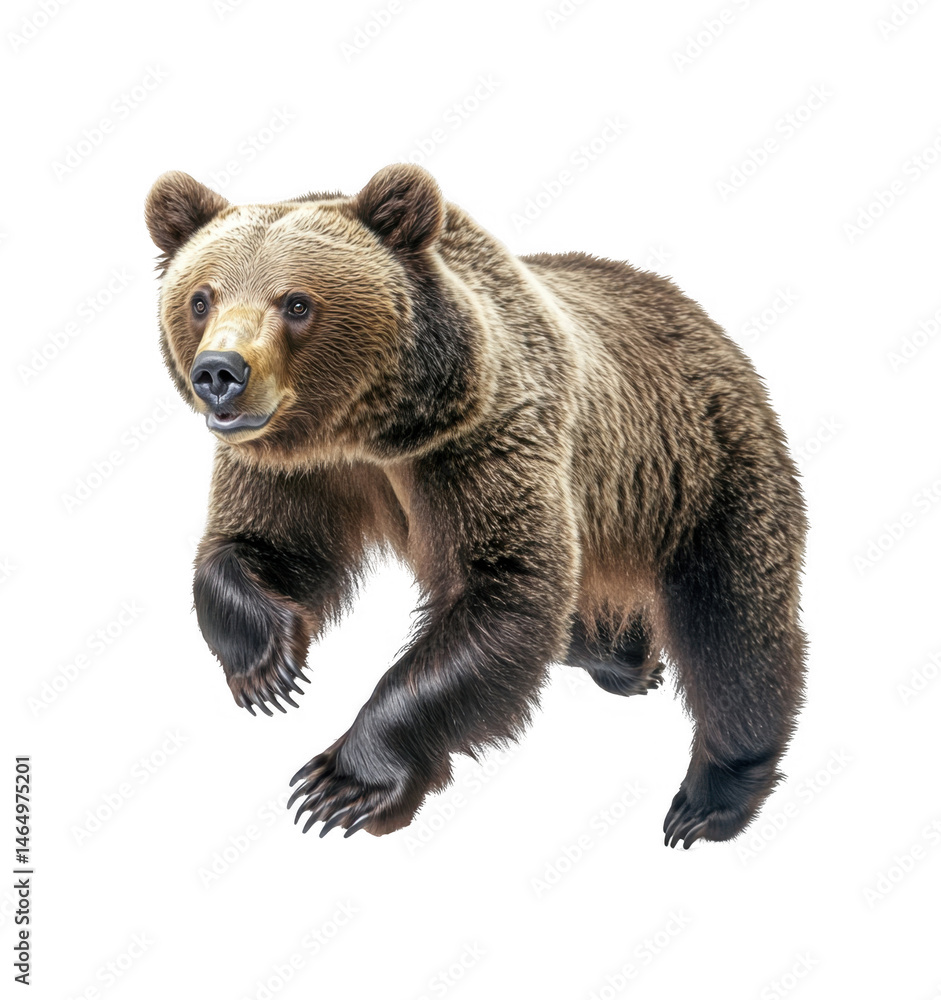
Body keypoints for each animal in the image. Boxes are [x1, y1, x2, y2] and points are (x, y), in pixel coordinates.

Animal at [144, 164, 807, 848]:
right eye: (201, 298)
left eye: (297, 302)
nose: (220, 373)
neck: (371, 433)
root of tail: (703, 318)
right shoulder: (299, 469)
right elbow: (256, 546)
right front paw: (270, 665)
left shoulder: (486, 441)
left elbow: (504, 591)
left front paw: (342, 783)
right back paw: (620, 657)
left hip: (703, 468)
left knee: (733, 625)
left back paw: (710, 797)